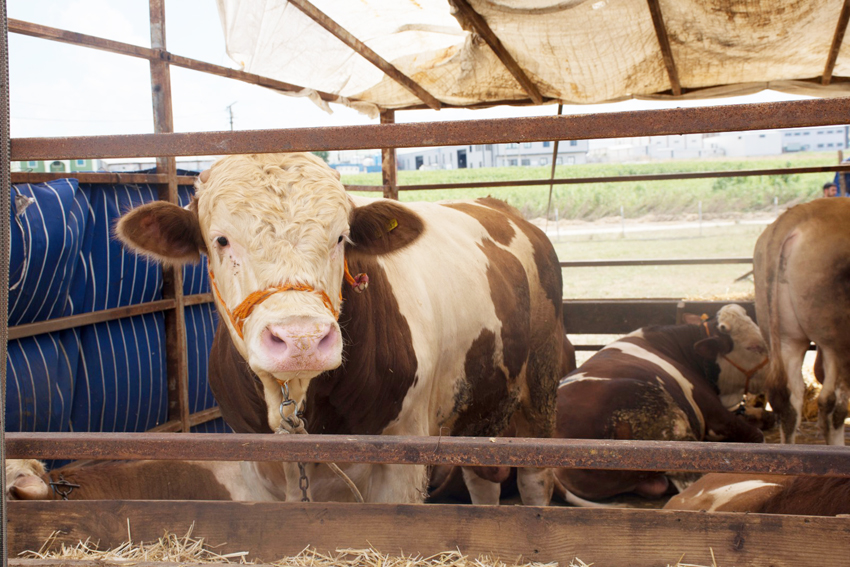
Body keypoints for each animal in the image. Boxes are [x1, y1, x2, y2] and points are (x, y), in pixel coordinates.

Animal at [116, 152, 568, 506]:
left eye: (341, 238)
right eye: (221, 240)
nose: (301, 339)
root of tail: (500, 206)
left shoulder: (402, 464)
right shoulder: (252, 466)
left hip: (541, 386)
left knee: (535, 478)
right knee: (481, 478)